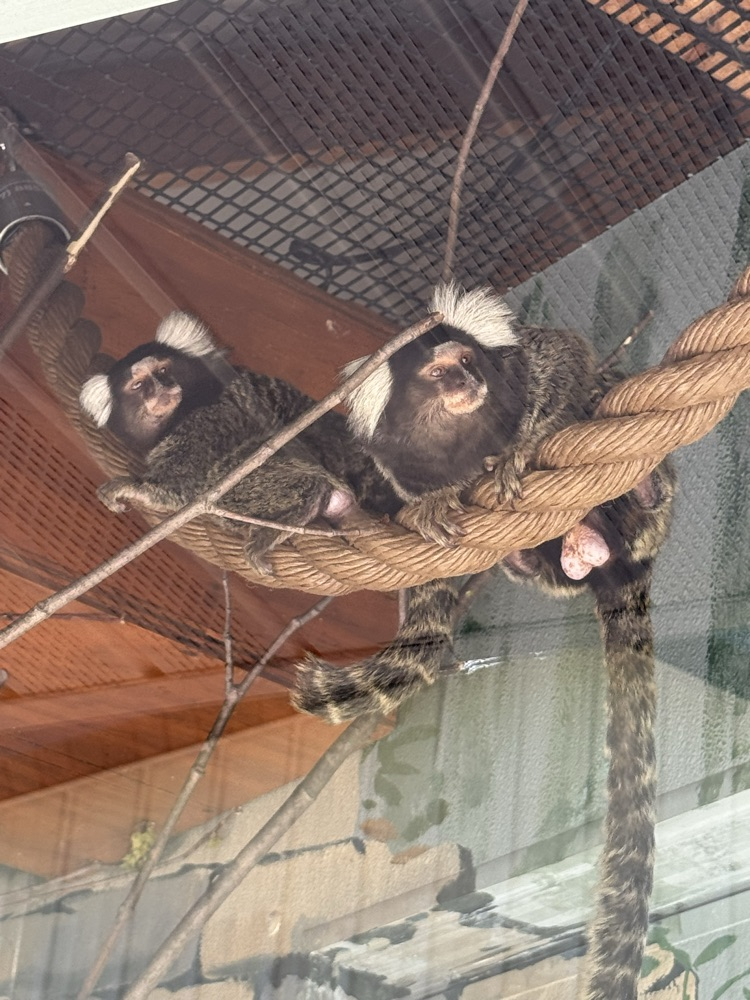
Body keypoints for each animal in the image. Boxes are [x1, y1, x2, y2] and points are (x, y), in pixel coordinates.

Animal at [79, 312, 400, 574]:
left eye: (162, 371)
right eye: (138, 385)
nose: (160, 389)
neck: (186, 407)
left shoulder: (207, 421)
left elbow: (181, 488)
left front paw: (129, 487)